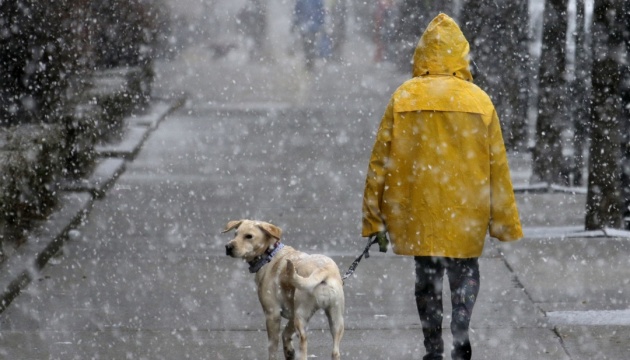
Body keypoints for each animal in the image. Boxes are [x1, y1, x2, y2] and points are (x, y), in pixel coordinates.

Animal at [225, 219, 346, 360]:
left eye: (249, 236)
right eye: (235, 234)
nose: (228, 247)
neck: (270, 254)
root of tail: (323, 270)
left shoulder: (272, 314)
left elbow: (272, 347)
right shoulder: (292, 315)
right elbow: (286, 334)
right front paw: (289, 351)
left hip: (301, 317)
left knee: (303, 344)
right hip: (336, 320)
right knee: (335, 352)